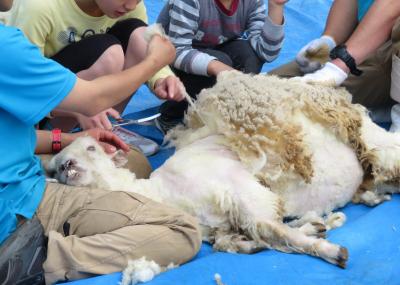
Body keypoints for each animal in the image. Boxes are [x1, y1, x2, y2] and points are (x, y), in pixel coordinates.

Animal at [45, 72, 400, 270]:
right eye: (57, 167)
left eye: (91, 148)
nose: (65, 165)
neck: (163, 194)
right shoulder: (227, 220)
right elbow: (243, 239)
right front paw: (308, 231)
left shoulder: (243, 193)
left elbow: (274, 229)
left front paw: (329, 250)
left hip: (369, 138)